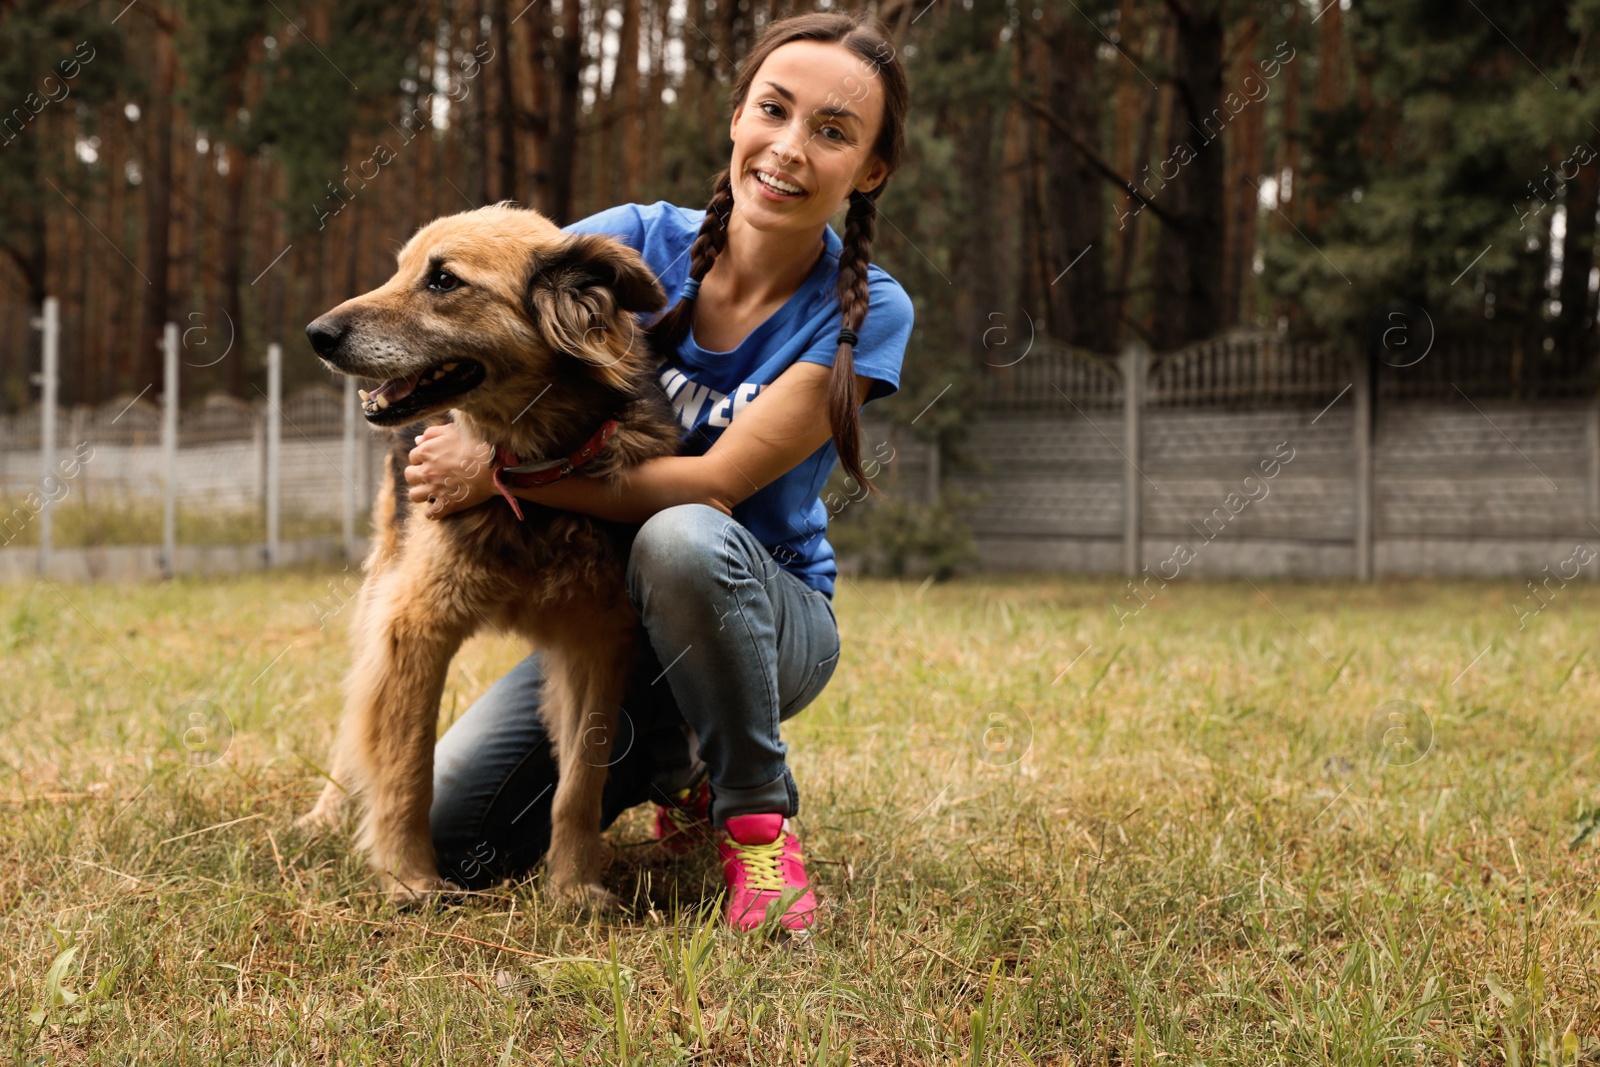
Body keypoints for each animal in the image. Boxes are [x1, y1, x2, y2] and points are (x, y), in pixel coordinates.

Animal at [297, 202, 678, 908]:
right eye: (400, 271)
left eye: (443, 280)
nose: (317, 334)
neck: (528, 476)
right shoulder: (414, 626)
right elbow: (408, 766)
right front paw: (410, 878)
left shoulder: (597, 642)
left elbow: (581, 781)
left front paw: (574, 886)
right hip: (382, 583)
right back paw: (325, 815)